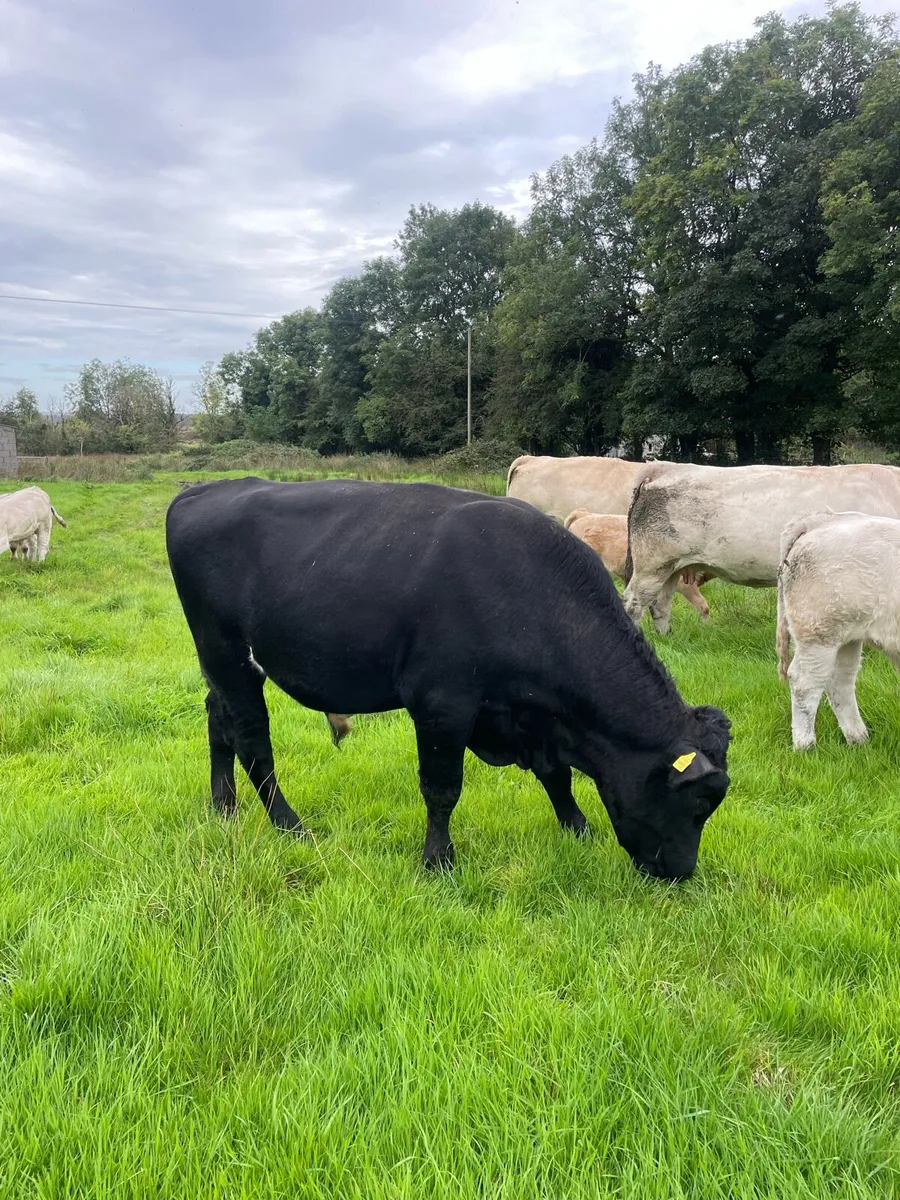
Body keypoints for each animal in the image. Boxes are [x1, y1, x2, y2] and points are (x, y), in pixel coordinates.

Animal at [623, 462, 900, 634]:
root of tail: (664, 467)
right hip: (652, 564)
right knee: (633, 602)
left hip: (671, 567)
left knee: (660, 603)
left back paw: (666, 636)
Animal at [776, 510, 900, 750]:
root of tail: (822, 520)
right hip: (819, 632)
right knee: (805, 683)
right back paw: (805, 746)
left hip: (848, 636)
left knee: (840, 681)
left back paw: (858, 739)